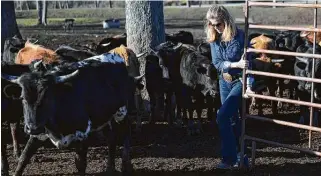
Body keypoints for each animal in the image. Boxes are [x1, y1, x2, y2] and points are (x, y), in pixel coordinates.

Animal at [1, 53, 139, 175]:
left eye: (47, 97)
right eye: (23, 98)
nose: (32, 128)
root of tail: (116, 56)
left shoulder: (82, 135)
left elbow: (81, 164)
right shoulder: (37, 136)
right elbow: (23, 159)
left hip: (121, 112)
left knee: (126, 131)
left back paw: (126, 165)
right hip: (104, 117)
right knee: (111, 138)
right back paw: (110, 168)